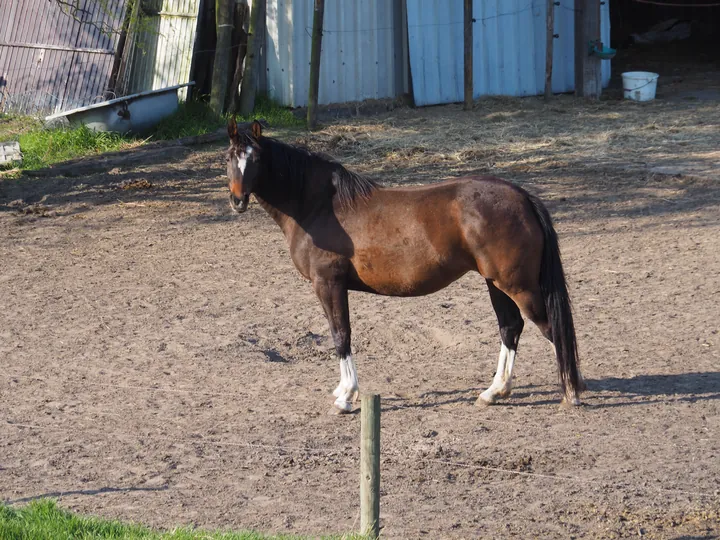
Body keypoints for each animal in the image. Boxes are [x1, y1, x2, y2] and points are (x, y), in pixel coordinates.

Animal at [226, 119, 584, 414]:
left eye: (255, 159)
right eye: (229, 159)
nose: (237, 200)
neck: (318, 205)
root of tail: (521, 197)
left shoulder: (328, 284)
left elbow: (341, 334)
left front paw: (347, 397)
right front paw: (342, 390)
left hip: (518, 286)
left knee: (549, 328)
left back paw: (571, 393)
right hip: (496, 283)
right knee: (510, 328)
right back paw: (495, 391)